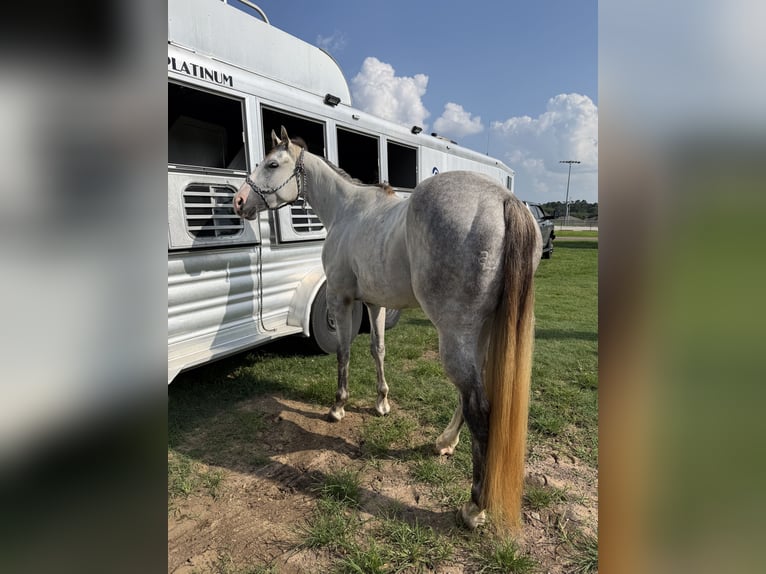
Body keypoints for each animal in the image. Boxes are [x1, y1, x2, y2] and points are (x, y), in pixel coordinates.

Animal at [233, 127, 542, 530]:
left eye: (271, 164)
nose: (239, 201)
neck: (347, 211)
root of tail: (504, 199)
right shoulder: (374, 304)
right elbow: (377, 350)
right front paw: (382, 403)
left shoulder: (341, 299)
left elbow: (344, 352)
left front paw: (338, 407)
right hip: (483, 333)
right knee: (472, 396)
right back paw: (444, 442)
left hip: (456, 335)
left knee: (478, 407)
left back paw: (475, 507)